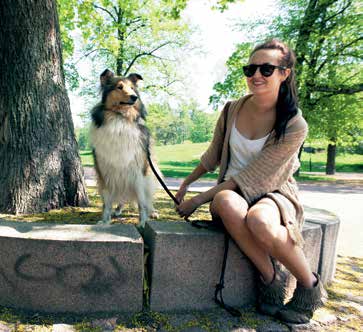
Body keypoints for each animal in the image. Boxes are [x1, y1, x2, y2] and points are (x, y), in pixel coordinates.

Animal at [90, 68, 159, 227]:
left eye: (132, 88)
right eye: (119, 87)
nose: (134, 97)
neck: (120, 118)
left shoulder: (138, 172)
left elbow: (141, 201)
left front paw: (142, 222)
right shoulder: (105, 172)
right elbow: (107, 202)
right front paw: (105, 221)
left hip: (149, 171)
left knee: (147, 196)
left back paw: (152, 211)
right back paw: (118, 209)